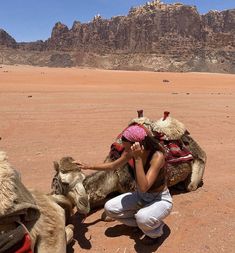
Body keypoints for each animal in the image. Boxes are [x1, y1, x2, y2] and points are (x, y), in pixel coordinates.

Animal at [51, 113, 206, 214]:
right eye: (55, 179)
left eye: (62, 182)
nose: (53, 192)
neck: (114, 177)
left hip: (200, 161)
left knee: (191, 185)